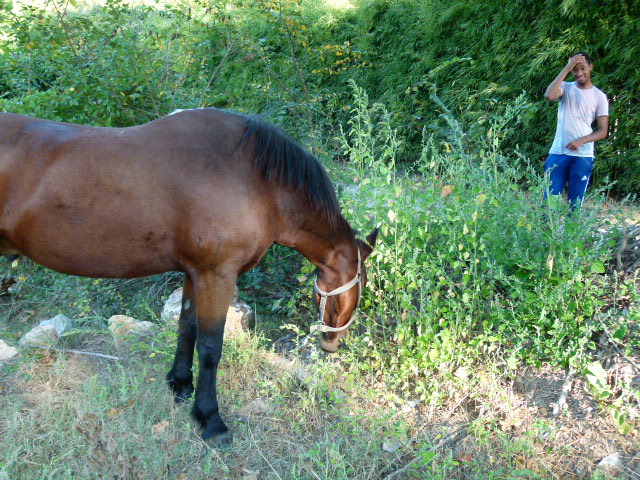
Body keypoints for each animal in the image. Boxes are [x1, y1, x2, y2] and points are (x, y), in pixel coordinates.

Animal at [0, 109, 378, 442]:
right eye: (358, 288)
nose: (331, 344)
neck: (255, 180)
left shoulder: (193, 273)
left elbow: (187, 327)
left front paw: (180, 385)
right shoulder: (217, 275)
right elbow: (210, 346)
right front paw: (210, 419)